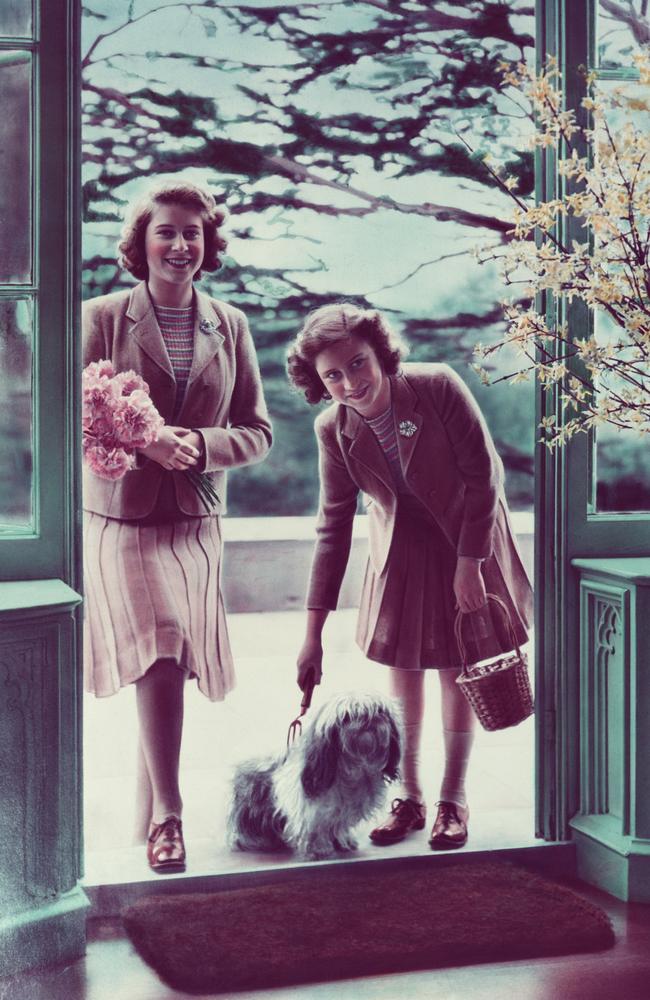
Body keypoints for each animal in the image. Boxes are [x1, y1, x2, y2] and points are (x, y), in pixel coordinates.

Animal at [228, 696, 400, 860]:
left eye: (379, 711)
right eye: (347, 716)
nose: (367, 719)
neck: (350, 769)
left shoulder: (341, 811)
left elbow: (339, 826)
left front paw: (343, 841)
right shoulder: (310, 811)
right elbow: (314, 830)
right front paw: (318, 849)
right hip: (251, 807)